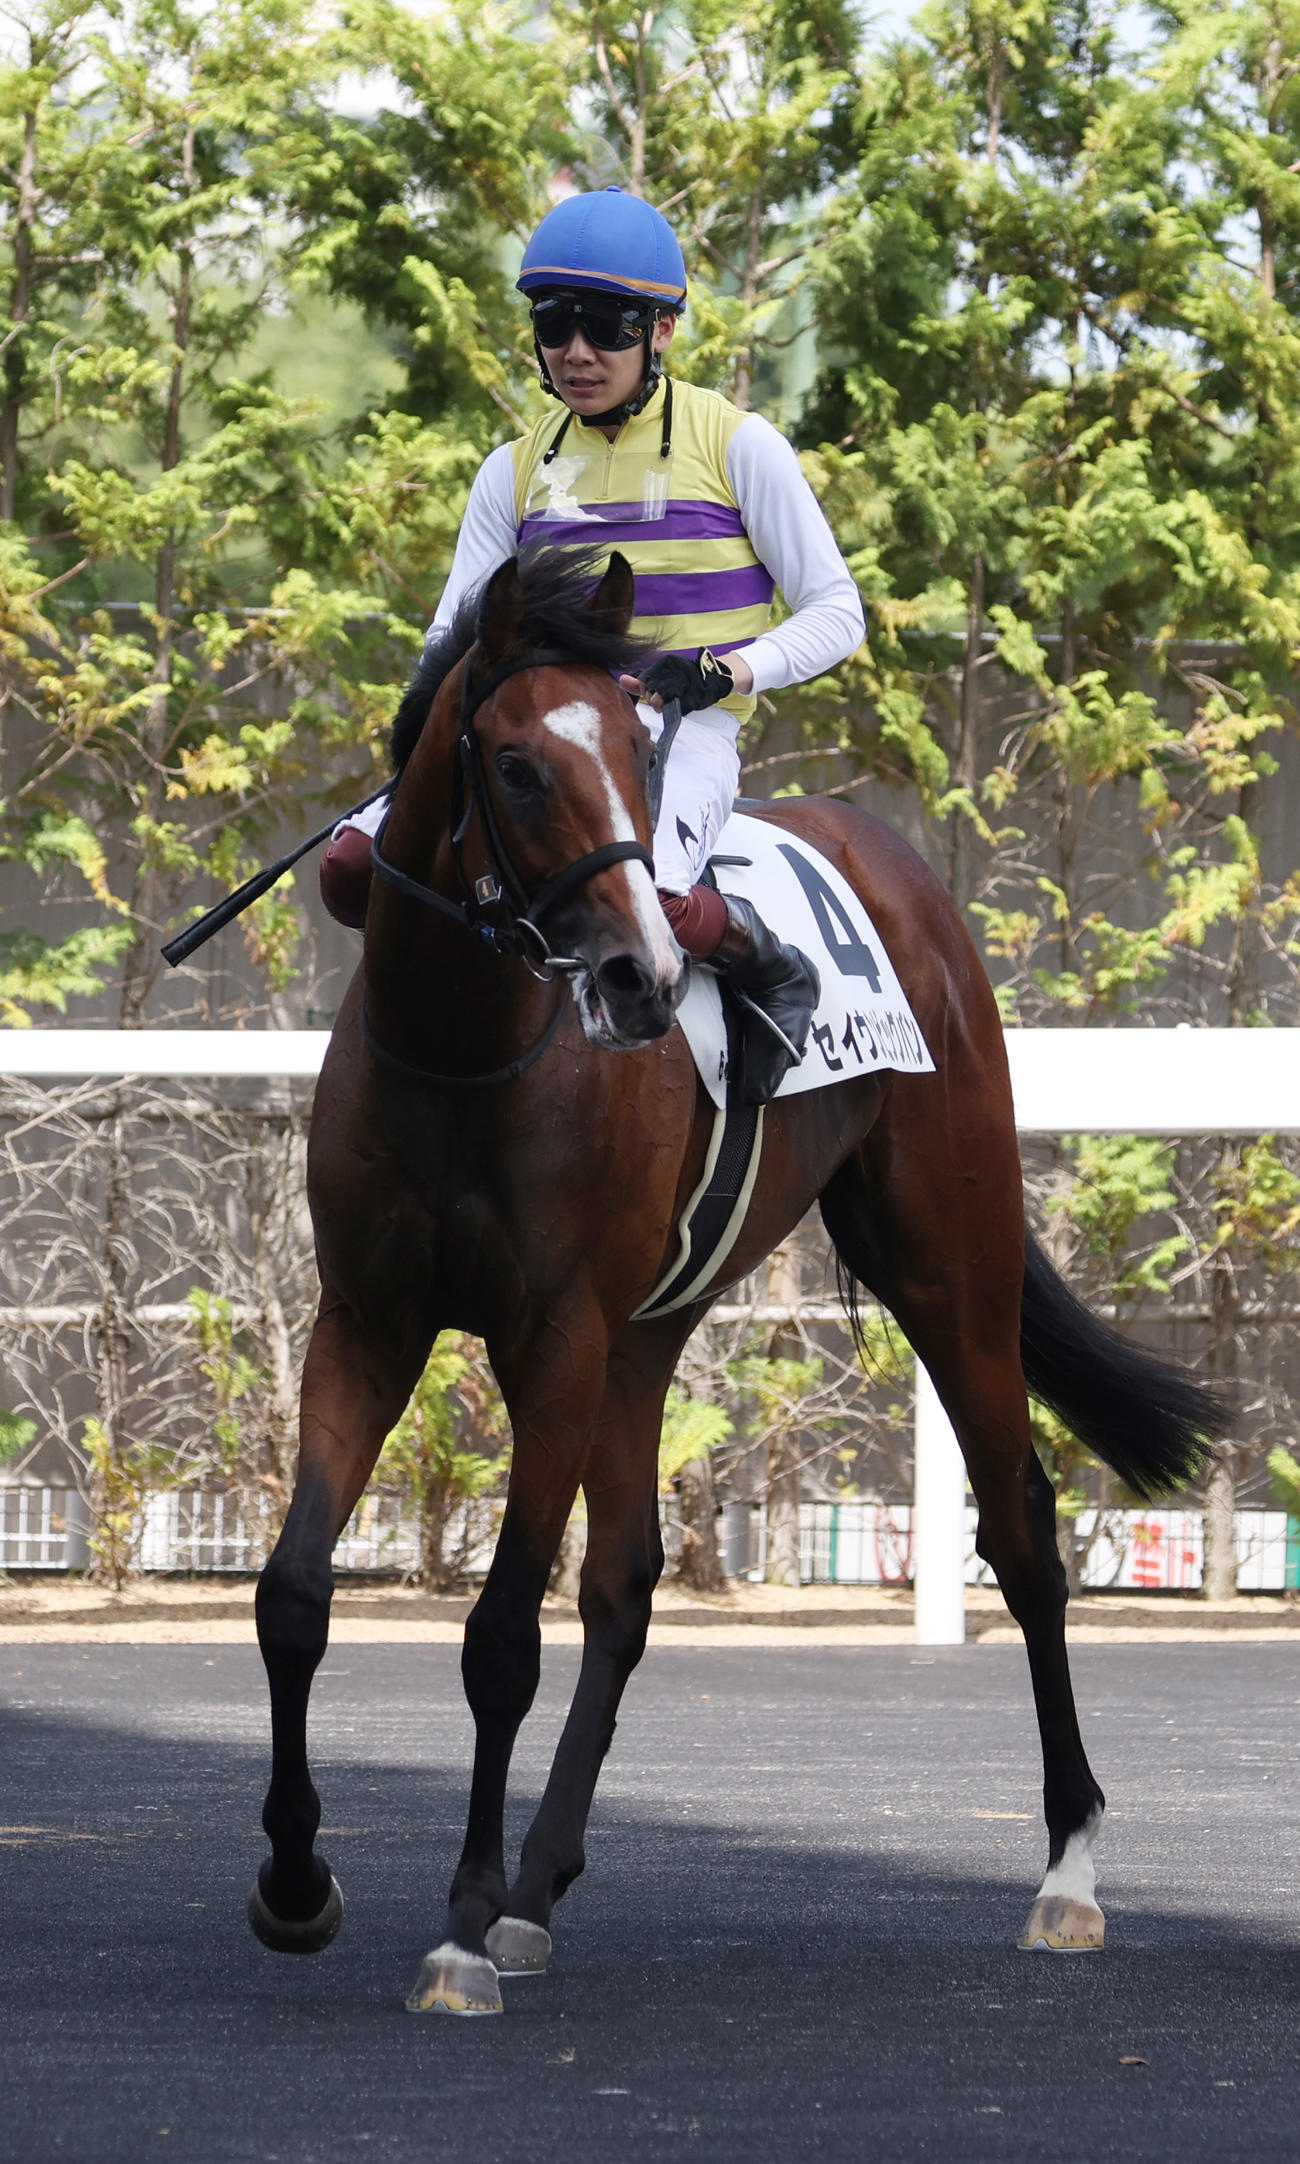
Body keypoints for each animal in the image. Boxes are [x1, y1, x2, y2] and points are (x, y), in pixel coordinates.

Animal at [248, 545, 1225, 2013]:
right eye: (517, 766)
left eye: (640, 757)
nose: (639, 977)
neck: (466, 1052)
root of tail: (902, 869)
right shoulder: (369, 1322)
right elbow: (297, 1595)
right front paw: (300, 1882)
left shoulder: (553, 1338)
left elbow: (499, 1636)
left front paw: (460, 1925)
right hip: (652, 1328)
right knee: (627, 1582)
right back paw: (541, 1887)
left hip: (949, 1267)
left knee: (1024, 1532)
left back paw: (1068, 1873)